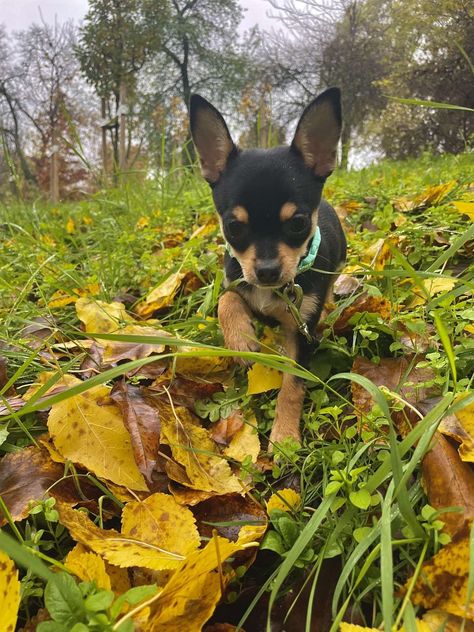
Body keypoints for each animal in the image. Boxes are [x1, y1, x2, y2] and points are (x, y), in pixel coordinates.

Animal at [188, 89, 344, 446]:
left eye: (298, 223)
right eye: (233, 226)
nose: (268, 271)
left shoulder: (300, 333)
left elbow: (292, 386)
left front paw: (285, 435)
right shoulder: (237, 279)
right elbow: (226, 299)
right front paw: (240, 339)